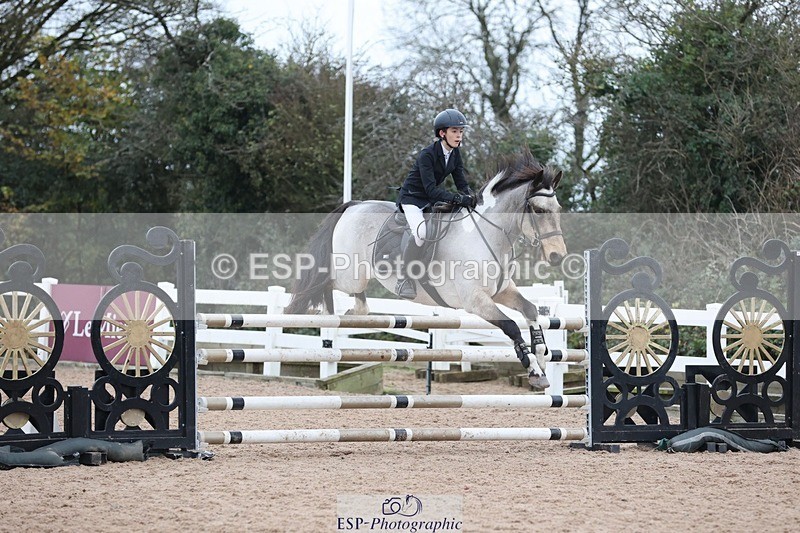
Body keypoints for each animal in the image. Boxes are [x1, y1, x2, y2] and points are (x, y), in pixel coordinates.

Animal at [285, 150, 566, 390]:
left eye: (558, 210)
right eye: (539, 210)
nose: (558, 257)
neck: (486, 236)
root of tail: (355, 205)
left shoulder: (502, 292)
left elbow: (530, 310)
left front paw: (542, 357)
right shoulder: (475, 301)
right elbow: (511, 327)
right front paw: (534, 371)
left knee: (358, 302)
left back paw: (349, 313)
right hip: (350, 275)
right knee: (324, 284)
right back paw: (324, 313)